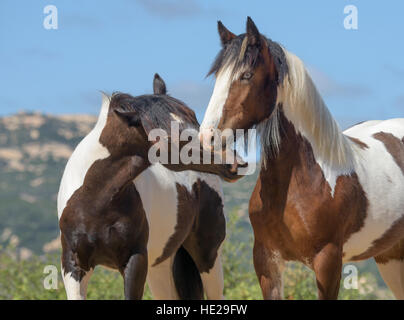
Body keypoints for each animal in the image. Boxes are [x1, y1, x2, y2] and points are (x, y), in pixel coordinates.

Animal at [58, 74, 241, 300]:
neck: (94, 198)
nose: (234, 162)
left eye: (194, 117)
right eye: (169, 134)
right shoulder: (73, 265)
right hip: (160, 267)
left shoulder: (135, 259)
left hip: (208, 257)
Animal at [200, 16, 404, 298]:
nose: (206, 138)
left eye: (246, 75)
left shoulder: (328, 263)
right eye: (218, 77)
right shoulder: (266, 262)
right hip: (390, 256)